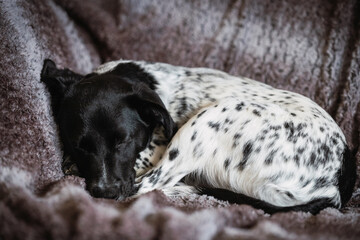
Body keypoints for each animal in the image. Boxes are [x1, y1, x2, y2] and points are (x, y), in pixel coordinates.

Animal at [40, 58, 358, 214]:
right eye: (80, 145)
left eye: (124, 140)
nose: (105, 193)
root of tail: (336, 185)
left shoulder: (155, 150)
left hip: (211, 117)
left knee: (152, 184)